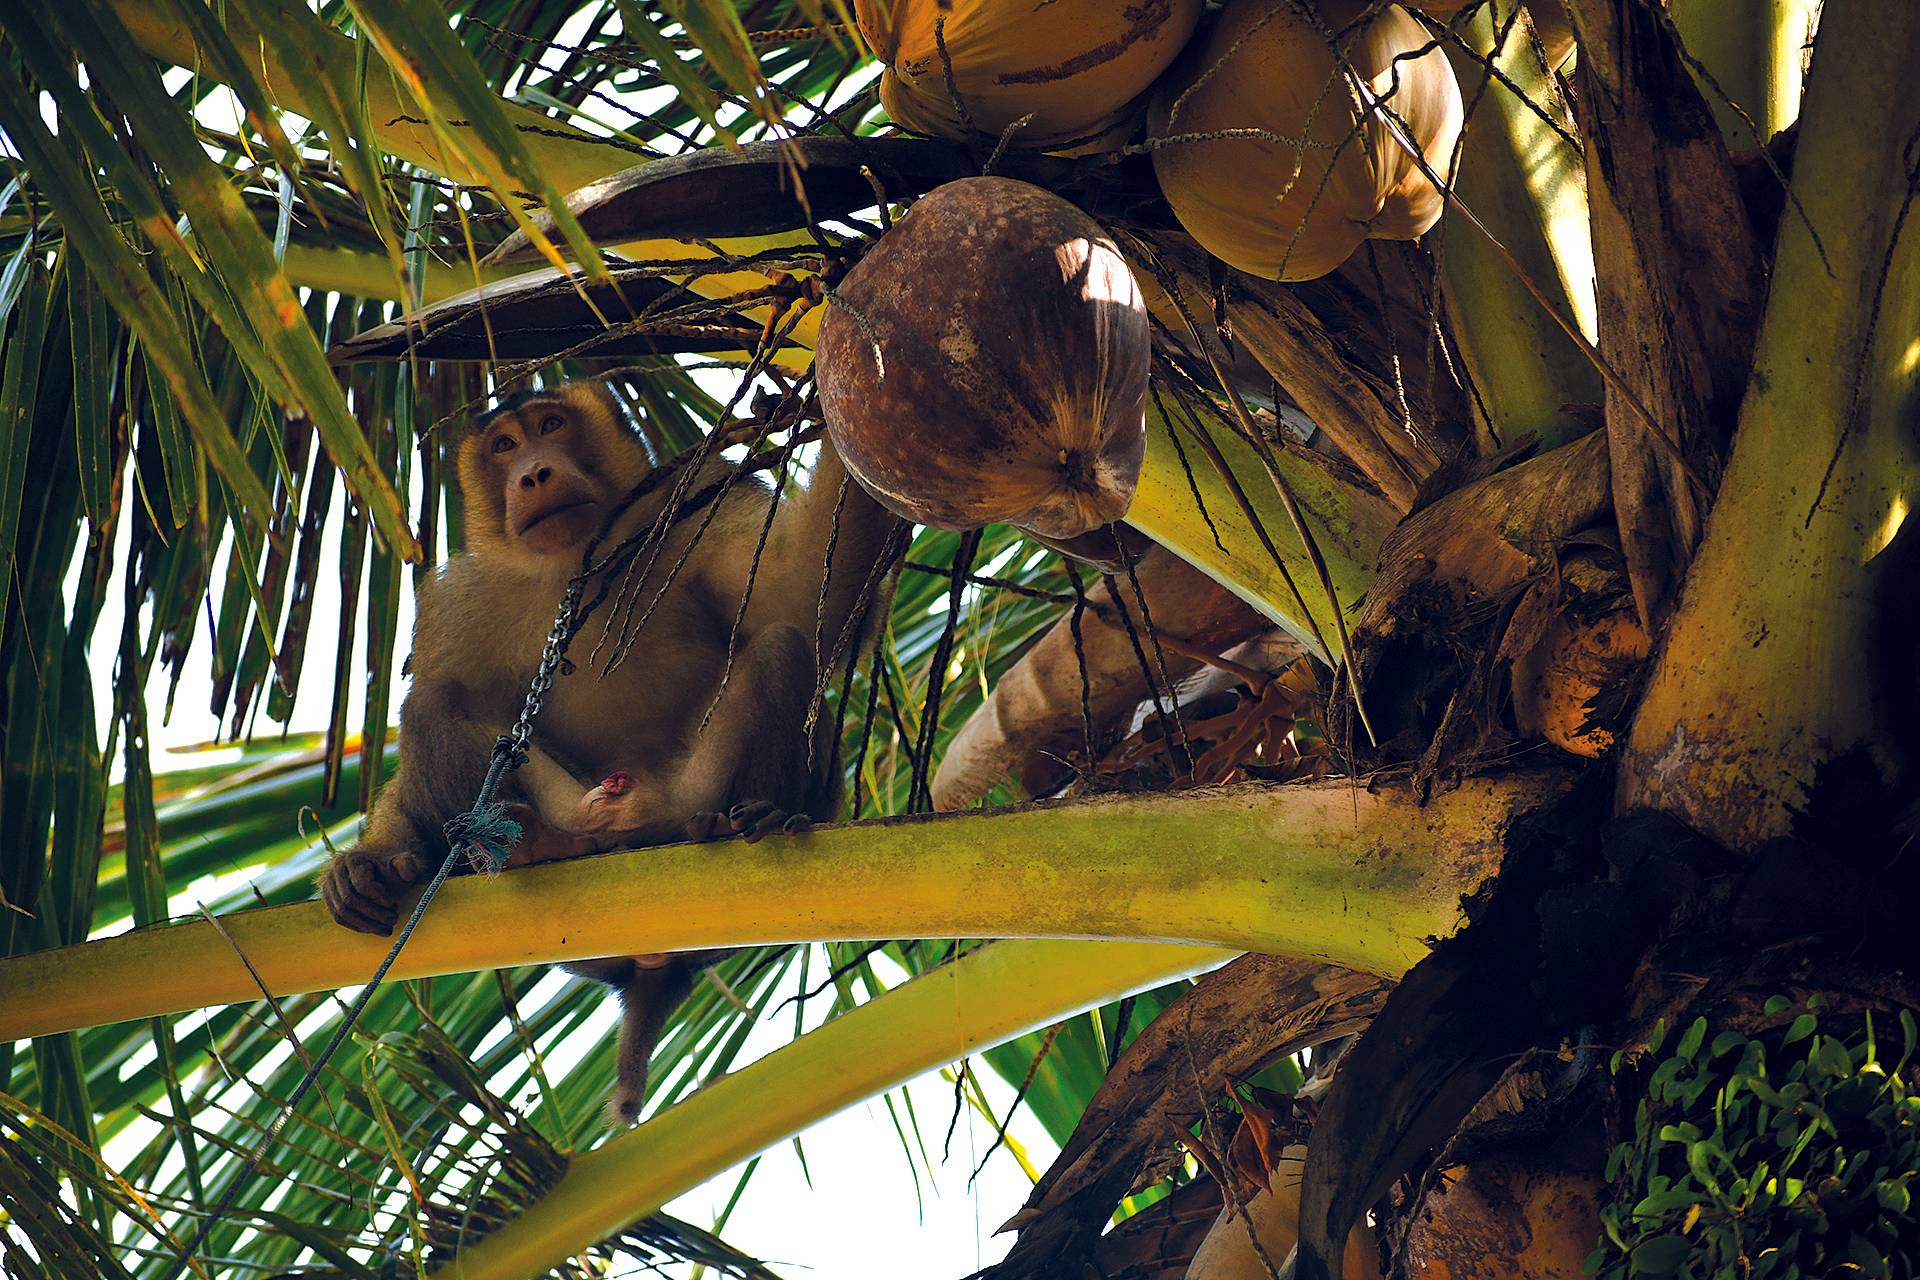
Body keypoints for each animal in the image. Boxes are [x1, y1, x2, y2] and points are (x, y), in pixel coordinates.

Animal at [318, 379, 902, 1120]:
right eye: (503, 445)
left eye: (549, 426)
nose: (534, 472)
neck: (577, 559)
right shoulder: (457, 602)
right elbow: (439, 689)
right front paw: (371, 863)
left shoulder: (700, 496)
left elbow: (799, 597)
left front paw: (836, 400)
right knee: (434, 706)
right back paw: (533, 847)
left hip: (689, 795)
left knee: (778, 647)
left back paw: (751, 818)